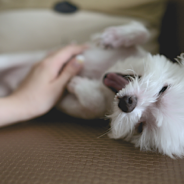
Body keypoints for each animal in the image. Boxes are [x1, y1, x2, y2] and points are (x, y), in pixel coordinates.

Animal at [0, 20, 183, 158]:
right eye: (163, 90)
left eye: (141, 126)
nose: (128, 103)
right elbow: (142, 32)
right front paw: (113, 36)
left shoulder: (82, 107)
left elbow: (93, 103)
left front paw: (79, 84)